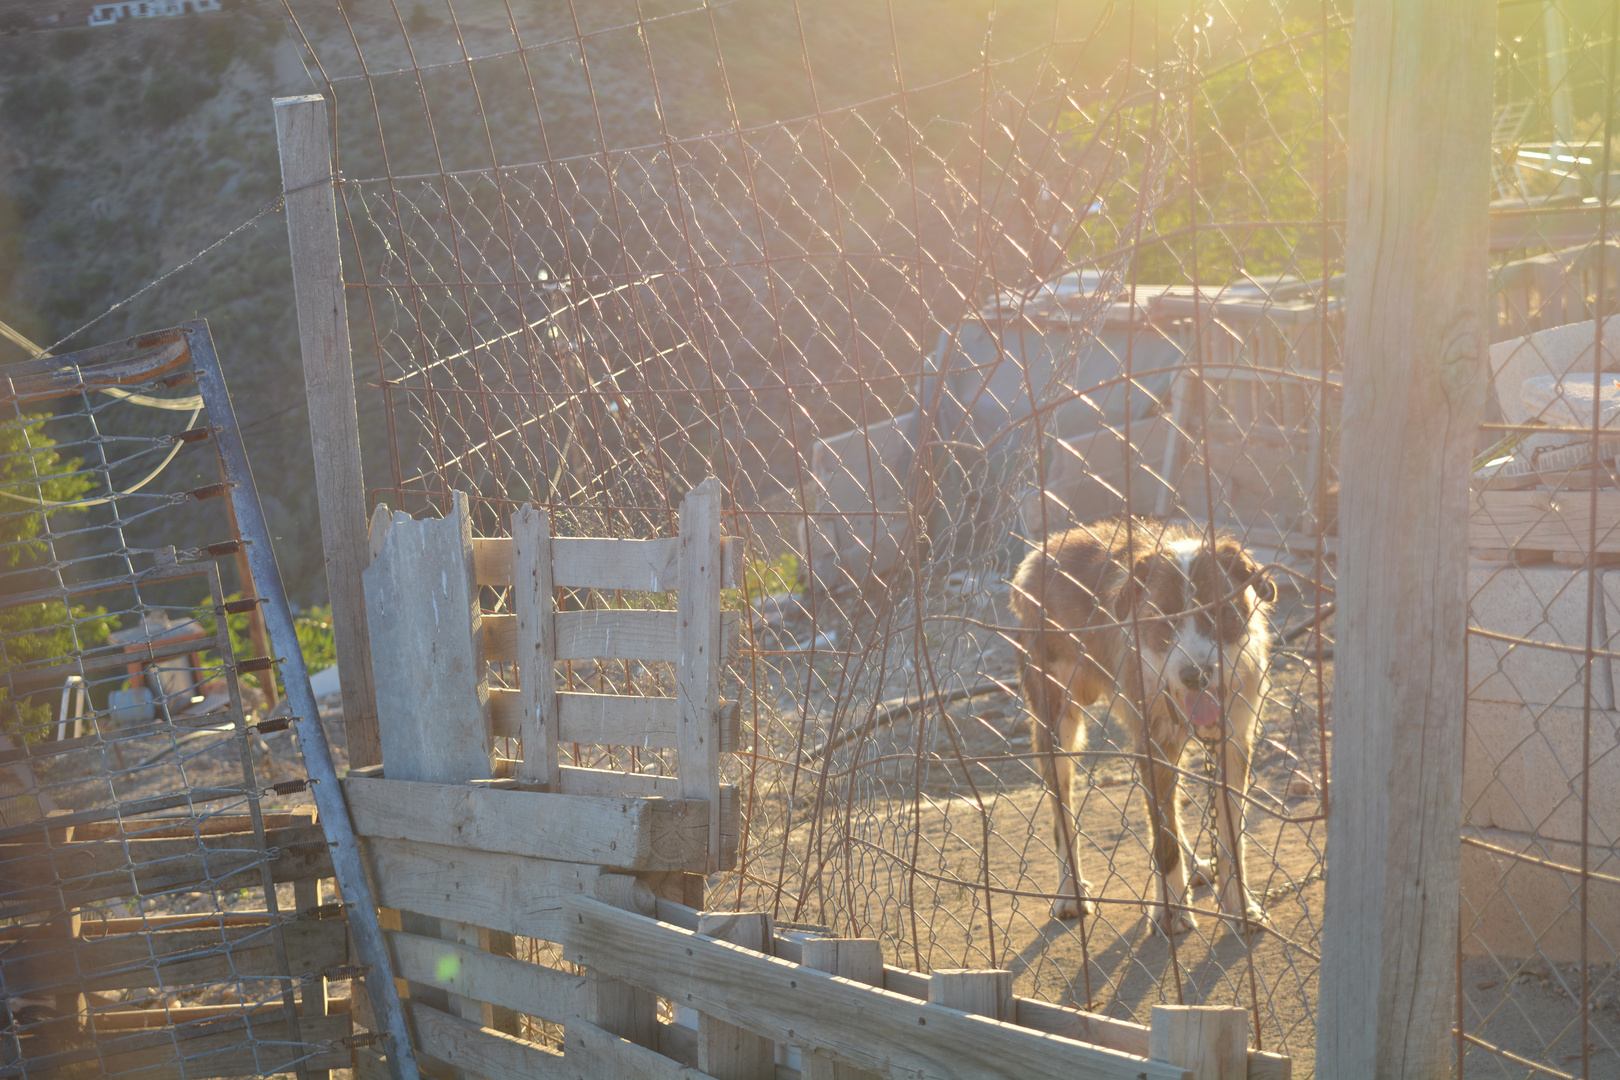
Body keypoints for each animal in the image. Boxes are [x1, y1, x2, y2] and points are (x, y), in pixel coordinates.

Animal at [1010, 518, 1276, 932]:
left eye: (1216, 613)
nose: (1195, 676)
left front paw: (1240, 907)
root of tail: (1043, 550)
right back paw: (1070, 891)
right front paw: (1172, 912)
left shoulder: (1234, 744)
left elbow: (1231, 839)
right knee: (1061, 814)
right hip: (1058, 729)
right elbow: (1163, 840)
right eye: (1162, 618)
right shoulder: (1153, 747)